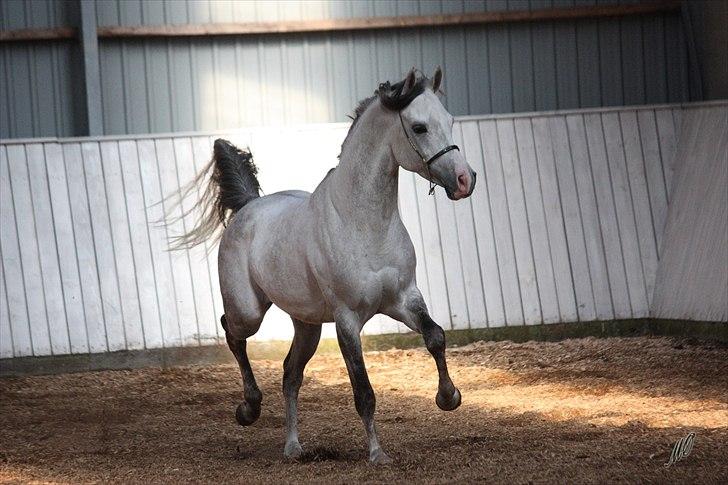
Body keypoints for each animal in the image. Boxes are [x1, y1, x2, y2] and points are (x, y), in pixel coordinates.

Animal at [172, 67, 478, 462]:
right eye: (420, 127)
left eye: (450, 121)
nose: (465, 180)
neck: (364, 224)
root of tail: (248, 207)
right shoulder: (347, 319)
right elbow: (363, 391)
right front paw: (377, 454)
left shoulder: (404, 299)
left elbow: (435, 336)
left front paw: (449, 397)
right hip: (249, 312)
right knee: (232, 331)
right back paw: (248, 409)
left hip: (307, 325)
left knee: (290, 373)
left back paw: (292, 447)